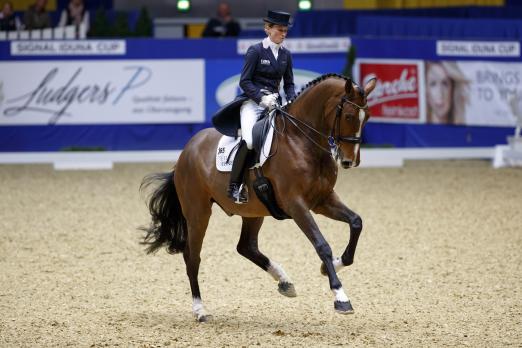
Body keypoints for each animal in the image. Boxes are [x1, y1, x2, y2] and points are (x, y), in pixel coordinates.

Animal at [141, 73, 378, 320]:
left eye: (367, 117)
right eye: (349, 116)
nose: (350, 161)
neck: (301, 140)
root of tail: (185, 152)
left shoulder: (323, 200)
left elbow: (356, 222)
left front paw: (333, 265)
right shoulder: (296, 205)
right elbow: (322, 245)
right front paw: (341, 296)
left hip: (253, 211)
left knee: (246, 247)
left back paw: (284, 281)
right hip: (198, 213)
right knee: (192, 256)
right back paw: (200, 309)